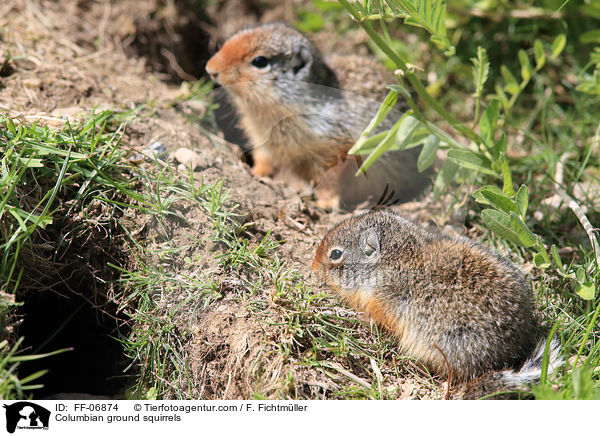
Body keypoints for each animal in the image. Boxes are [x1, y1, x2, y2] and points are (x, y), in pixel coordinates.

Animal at [206, 23, 432, 210]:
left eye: (260, 61)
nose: (210, 68)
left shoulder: (339, 146)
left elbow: (332, 178)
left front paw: (324, 203)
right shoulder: (263, 142)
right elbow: (264, 159)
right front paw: (255, 173)